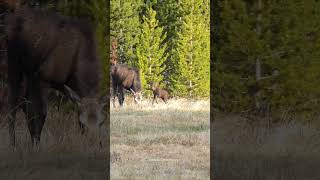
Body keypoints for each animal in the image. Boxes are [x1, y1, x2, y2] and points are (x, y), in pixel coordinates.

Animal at [1, 0, 107, 148]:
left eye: (102, 122)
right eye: (82, 123)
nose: (94, 144)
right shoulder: (42, 78)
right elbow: (41, 114)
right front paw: (37, 145)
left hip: (30, 73)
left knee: (24, 104)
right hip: (14, 62)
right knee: (13, 103)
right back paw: (13, 144)